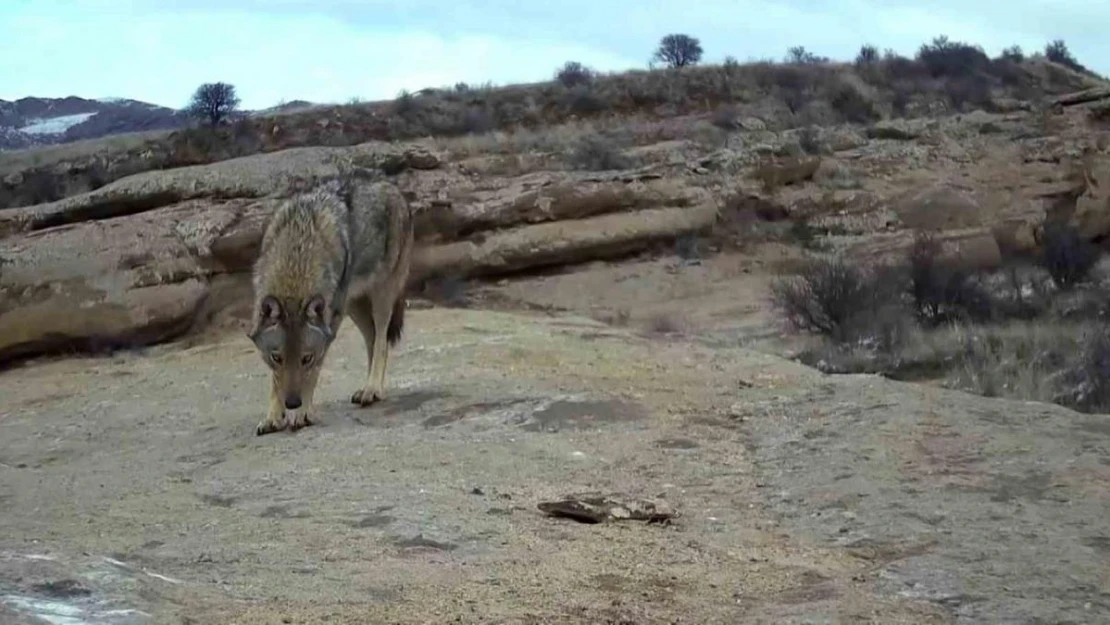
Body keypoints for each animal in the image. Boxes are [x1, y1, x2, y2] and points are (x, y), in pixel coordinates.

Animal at [245, 176, 415, 437]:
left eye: (306, 358)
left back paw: (372, 388)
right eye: (276, 358)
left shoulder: (329, 327)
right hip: (353, 305)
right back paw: (368, 388)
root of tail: (394, 188)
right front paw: (273, 416)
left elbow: (312, 375)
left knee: (382, 341)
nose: (291, 403)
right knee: (373, 339)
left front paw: (303, 413)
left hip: (380, 297)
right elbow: (276, 382)